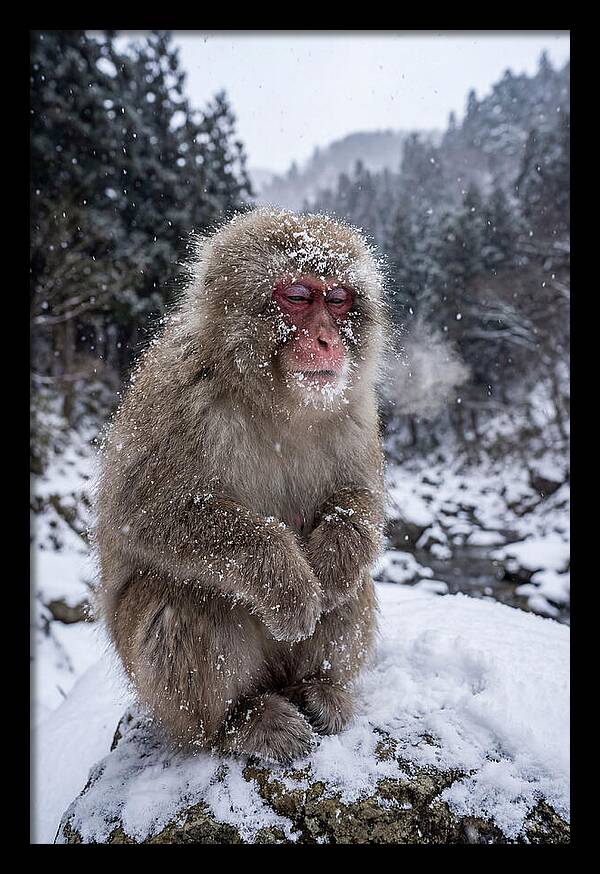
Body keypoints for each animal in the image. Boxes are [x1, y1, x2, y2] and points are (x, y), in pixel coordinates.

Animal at [95, 207, 387, 764]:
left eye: (338, 298)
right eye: (297, 295)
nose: (327, 339)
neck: (277, 403)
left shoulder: (357, 410)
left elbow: (361, 499)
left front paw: (334, 559)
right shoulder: (178, 395)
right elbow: (146, 513)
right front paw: (288, 582)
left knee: (354, 587)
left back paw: (320, 689)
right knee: (182, 598)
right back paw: (239, 723)